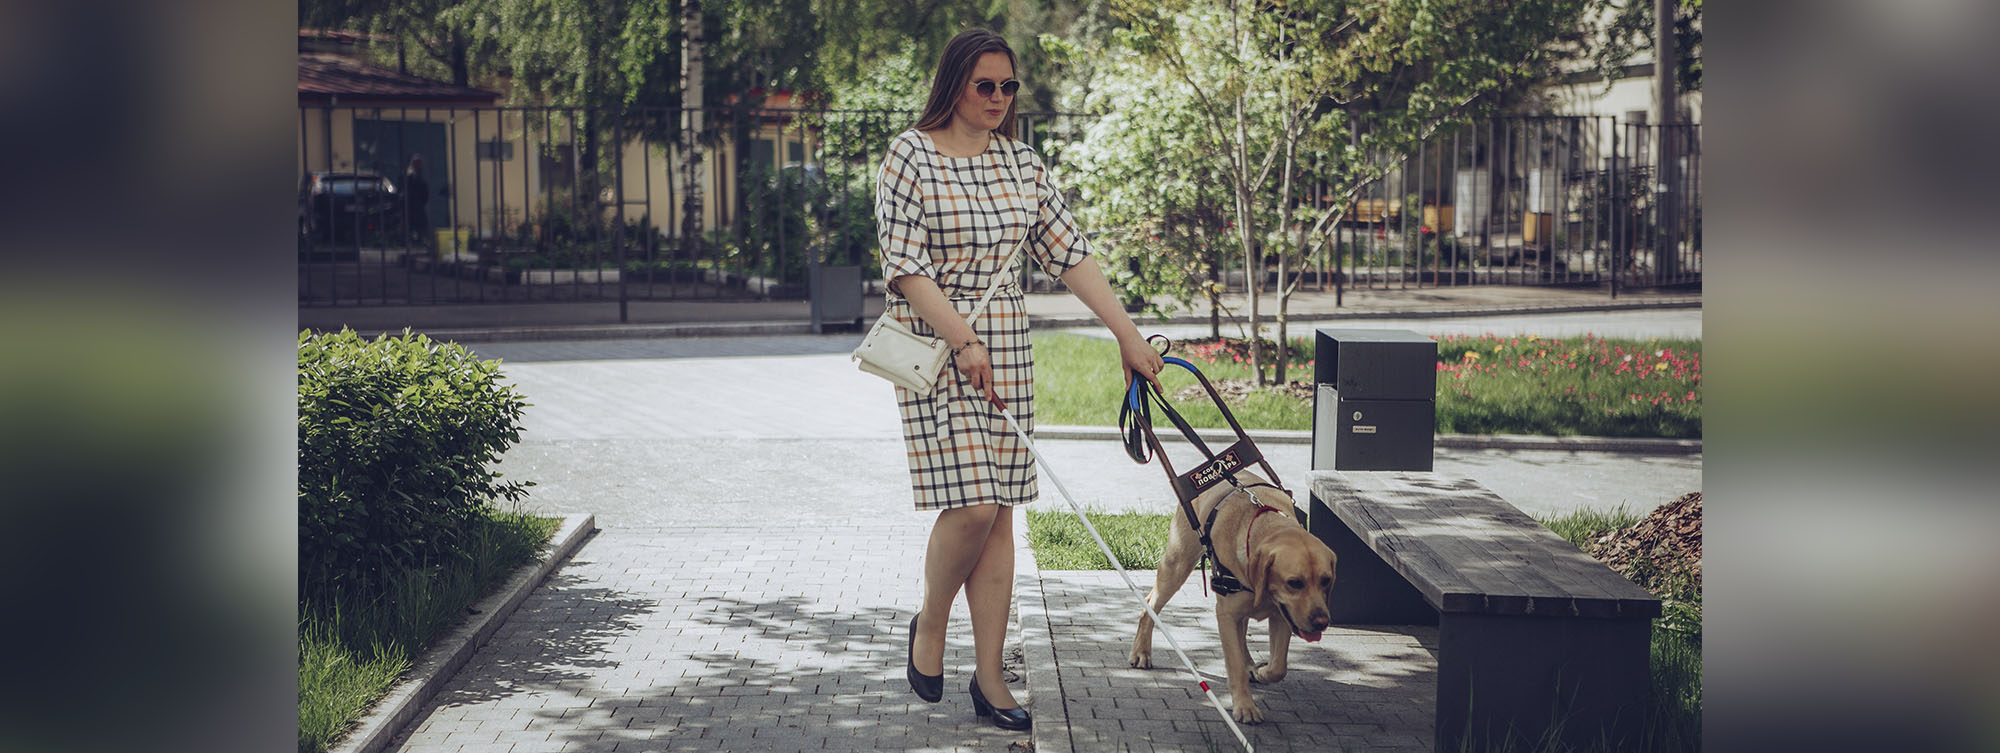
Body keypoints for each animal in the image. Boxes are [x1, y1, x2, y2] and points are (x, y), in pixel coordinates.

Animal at [1127, 471, 1337, 724]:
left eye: (1325, 580)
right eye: (1294, 582)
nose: (1321, 622)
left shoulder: (1282, 615)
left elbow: (1278, 666)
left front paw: (1261, 672)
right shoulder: (1226, 615)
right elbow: (1235, 664)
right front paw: (1245, 707)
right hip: (1177, 565)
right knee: (1150, 603)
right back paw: (1141, 652)